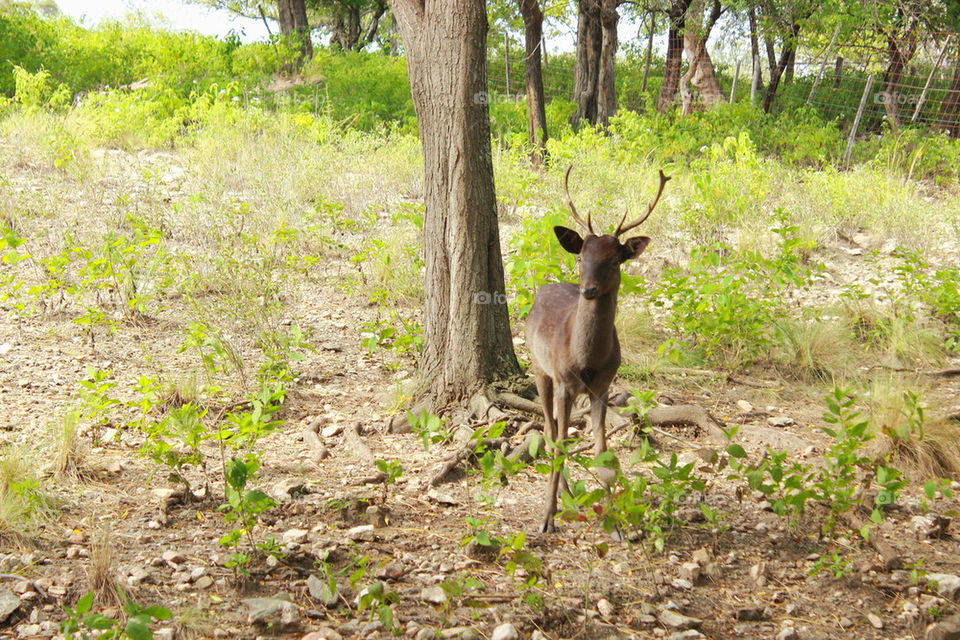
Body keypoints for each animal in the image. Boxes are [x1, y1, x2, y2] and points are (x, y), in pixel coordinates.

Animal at [526, 166, 670, 533]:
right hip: (539, 366)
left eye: (615, 260)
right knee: (550, 430)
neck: (587, 361)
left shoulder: (603, 386)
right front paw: (546, 518)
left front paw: (616, 523)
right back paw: (560, 499)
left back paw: (570, 496)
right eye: (581, 256)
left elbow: (602, 447)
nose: (588, 289)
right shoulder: (563, 381)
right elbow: (560, 443)